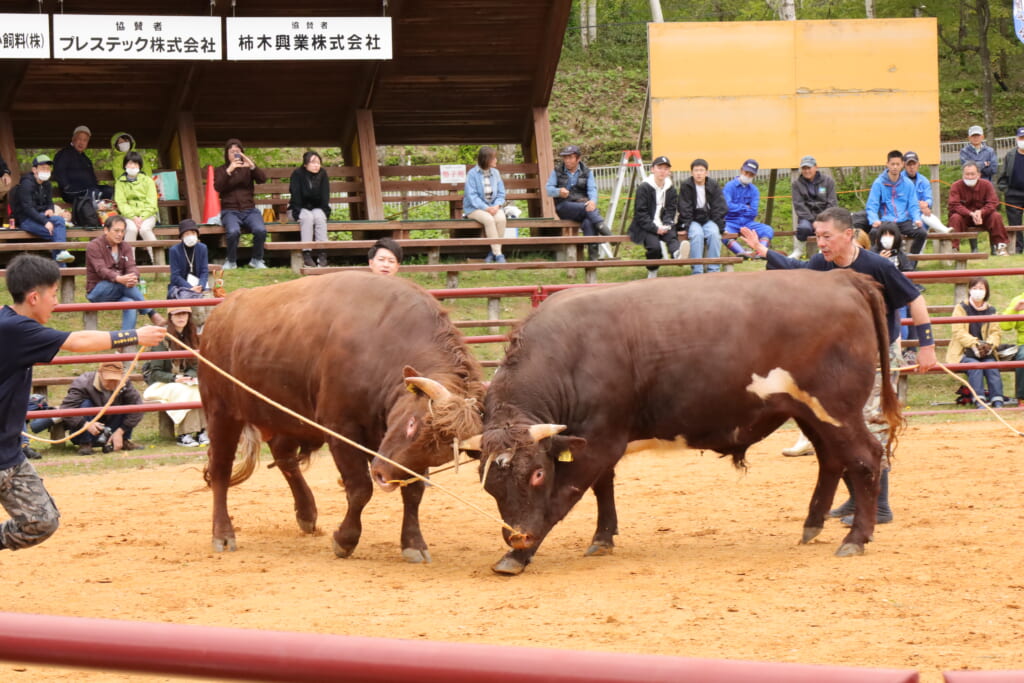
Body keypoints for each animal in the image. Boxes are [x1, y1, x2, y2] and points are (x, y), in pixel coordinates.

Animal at [203, 270, 487, 565]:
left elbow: (413, 491)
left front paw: (413, 542)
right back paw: (223, 533)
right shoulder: (341, 429)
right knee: (221, 469)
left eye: (440, 454)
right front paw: (345, 540)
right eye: (411, 424)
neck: (383, 344)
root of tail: (221, 312)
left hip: (285, 417)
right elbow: (360, 488)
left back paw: (306, 513)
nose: (383, 475)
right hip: (221, 412)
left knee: (284, 456)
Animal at [460, 270, 901, 573]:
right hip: (808, 412)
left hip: (836, 409)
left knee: (866, 457)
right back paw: (812, 525)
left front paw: (518, 555)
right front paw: (602, 537)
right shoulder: (592, 441)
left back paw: (856, 537)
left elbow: (563, 496)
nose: (518, 534)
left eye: (536, 474)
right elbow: (604, 487)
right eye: (489, 484)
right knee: (831, 460)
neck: (570, 353)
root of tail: (839, 277)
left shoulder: (598, 441)